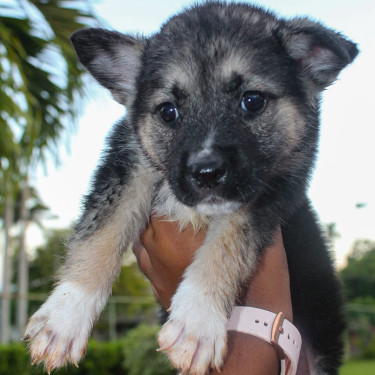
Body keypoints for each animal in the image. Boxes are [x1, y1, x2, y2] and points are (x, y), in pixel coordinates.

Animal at [23, 1, 358, 374]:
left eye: (252, 101)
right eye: (168, 112)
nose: (207, 173)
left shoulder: (272, 189)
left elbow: (226, 243)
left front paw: (197, 320)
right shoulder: (128, 163)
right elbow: (101, 233)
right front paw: (66, 315)